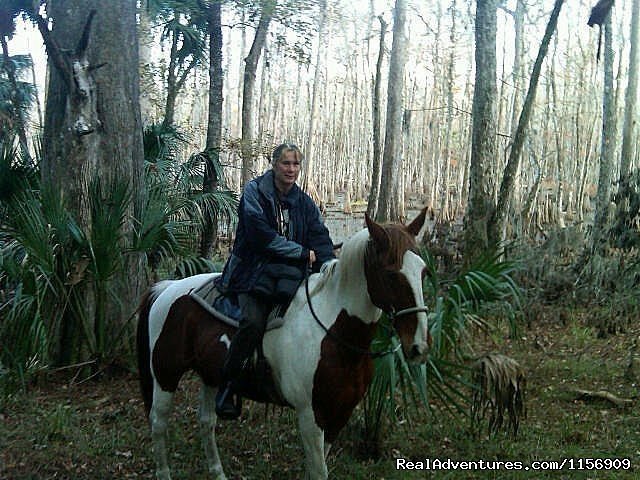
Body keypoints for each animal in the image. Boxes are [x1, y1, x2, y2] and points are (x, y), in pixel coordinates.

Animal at [138, 211, 432, 480]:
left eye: (423, 272)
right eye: (391, 275)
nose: (418, 346)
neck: (333, 332)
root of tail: (167, 288)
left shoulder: (339, 415)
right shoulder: (310, 417)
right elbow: (319, 471)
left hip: (210, 376)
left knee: (206, 422)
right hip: (165, 375)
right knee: (158, 423)